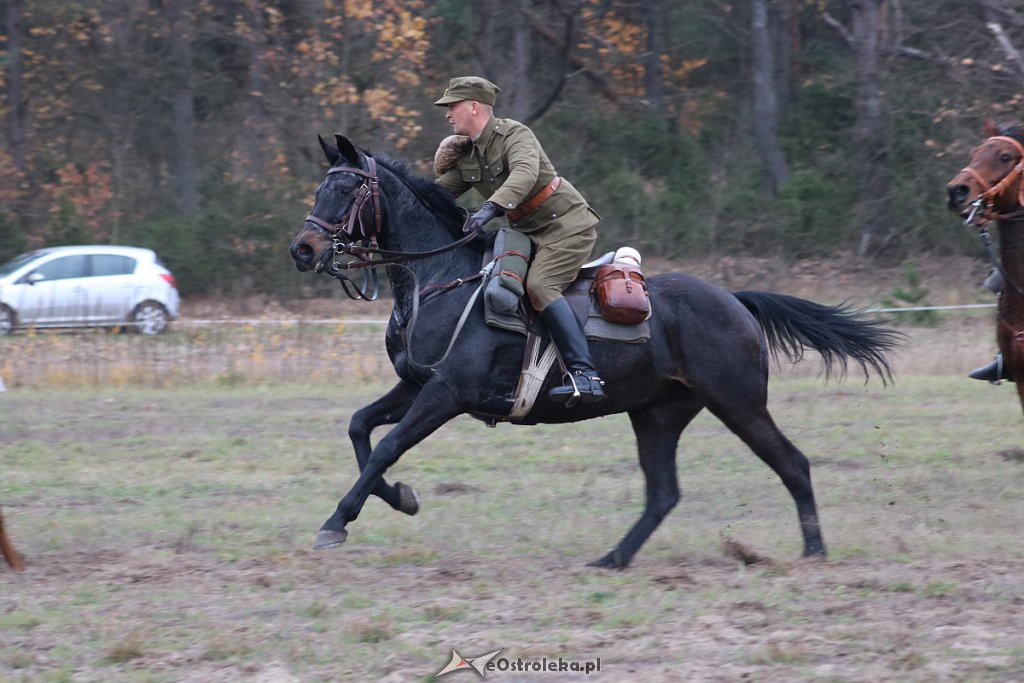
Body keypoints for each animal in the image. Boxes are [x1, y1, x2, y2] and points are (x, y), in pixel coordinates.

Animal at [286, 136, 897, 569]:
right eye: (319, 190)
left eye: (346, 192)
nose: (304, 249)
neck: (440, 277)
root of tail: (734, 300)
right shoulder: (415, 385)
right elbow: (360, 430)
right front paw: (399, 499)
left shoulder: (445, 394)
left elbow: (386, 447)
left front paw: (337, 521)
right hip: (657, 414)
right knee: (663, 494)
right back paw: (614, 558)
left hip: (739, 403)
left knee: (792, 464)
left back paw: (814, 553)